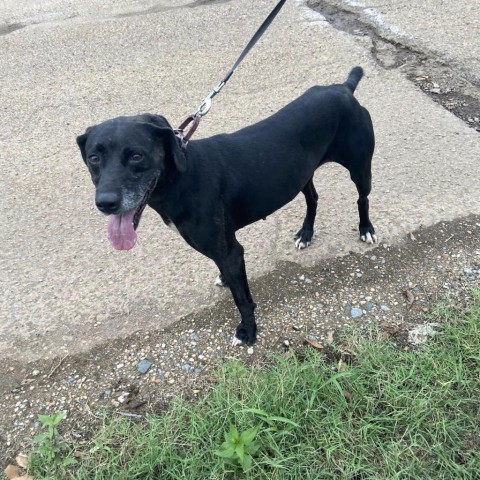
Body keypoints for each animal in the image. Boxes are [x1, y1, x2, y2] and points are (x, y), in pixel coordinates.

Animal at [78, 67, 376, 344]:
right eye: (94, 158)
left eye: (137, 156)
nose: (105, 203)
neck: (183, 178)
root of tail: (343, 88)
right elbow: (228, 275)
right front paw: (225, 281)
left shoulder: (231, 252)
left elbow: (242, 298)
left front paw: (248, 331)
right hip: (301, 174)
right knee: (312, 198)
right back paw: (306, 233)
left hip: (360, 167)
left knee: (362, 199)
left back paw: (365, 229)